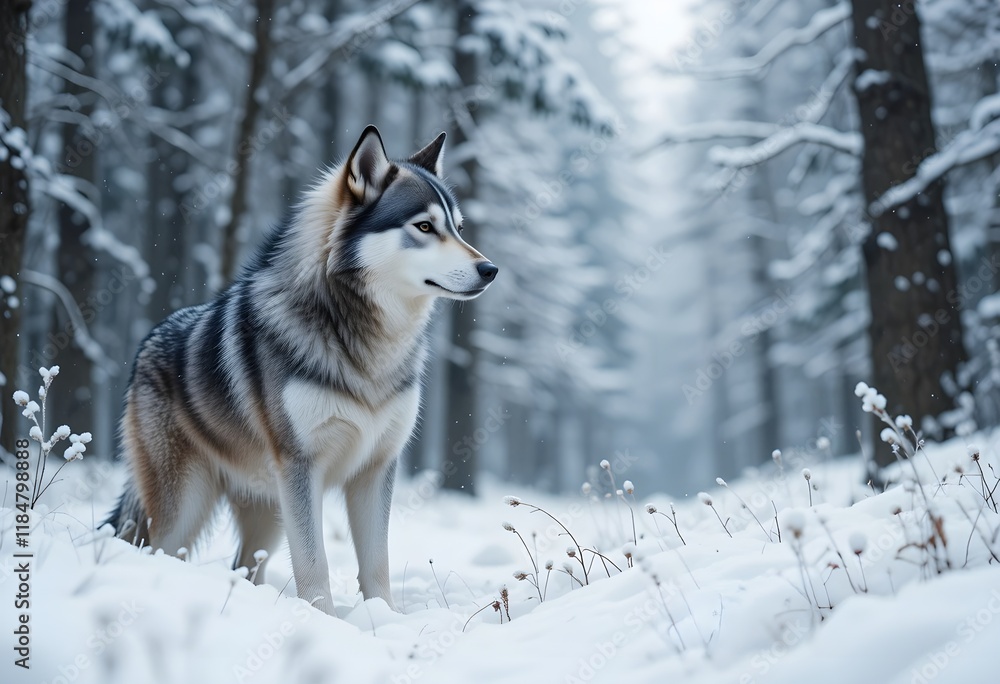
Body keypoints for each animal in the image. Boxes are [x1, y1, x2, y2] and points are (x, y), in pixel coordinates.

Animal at [106, 126, 498, 614]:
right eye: (424, 227)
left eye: (458, 229)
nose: (490, 268)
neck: (367, 345)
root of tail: (148, 341)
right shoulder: (301, 468)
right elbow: (315, 566)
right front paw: (324, 620)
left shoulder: (376, 469)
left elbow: (377, 565)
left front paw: (383, 618)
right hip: (189, 506)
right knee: (162, 550)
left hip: (268, 515)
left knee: (245, 567)